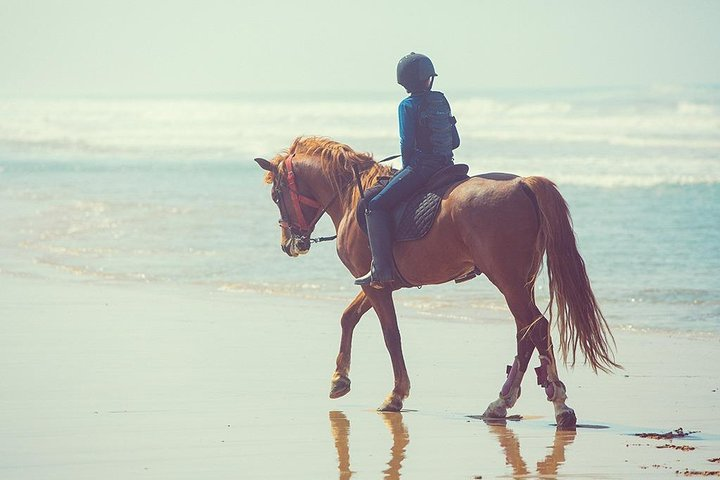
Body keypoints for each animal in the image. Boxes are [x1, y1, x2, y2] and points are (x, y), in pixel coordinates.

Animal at [255, 136, 620, 432]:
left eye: (276, 195)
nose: (290, 245)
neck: (350, 197)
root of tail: (523, 184)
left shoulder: (375, 285)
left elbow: (390, 335)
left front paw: (395, 395)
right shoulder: (378, 283)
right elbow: (349, 318)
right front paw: (339, 380)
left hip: (508, 281)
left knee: (537, 328)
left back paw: (559, 406)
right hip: (518, 282)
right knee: (525, 331)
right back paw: (500, 404)